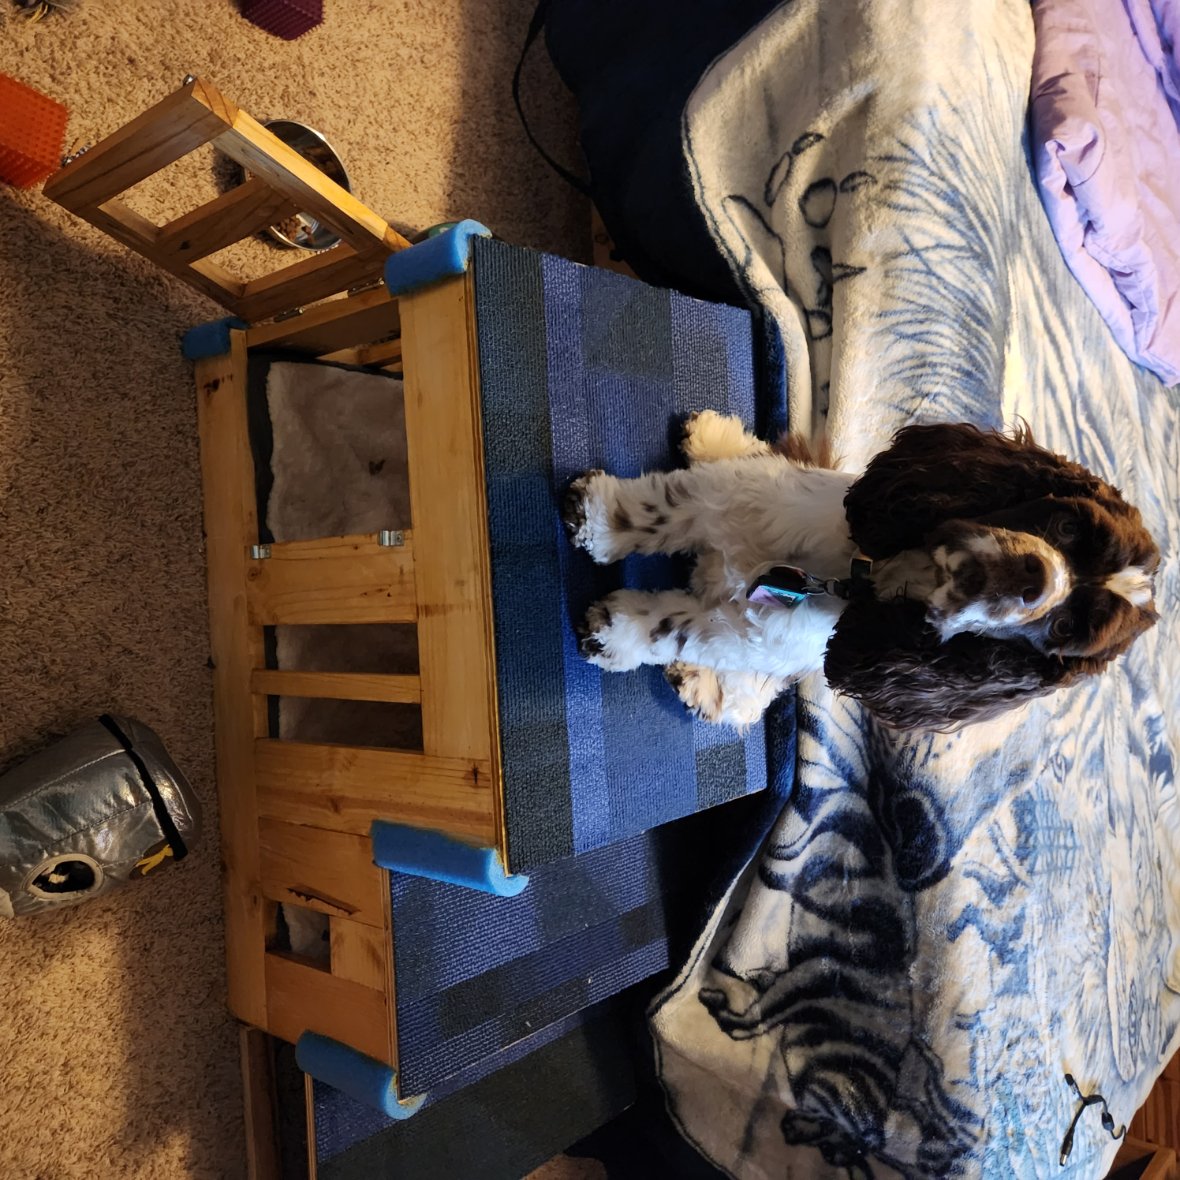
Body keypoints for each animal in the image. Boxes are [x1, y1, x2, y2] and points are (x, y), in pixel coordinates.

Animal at [559, 412, 1151, 726]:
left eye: (1064, 629)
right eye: (1068, 526)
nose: (1035, 578)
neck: (856, 576)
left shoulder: (749, 635)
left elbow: (674, 629)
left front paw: (613, 633)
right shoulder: (734, 498)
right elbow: (661, 509)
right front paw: (599, 518)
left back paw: (704, 684)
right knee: (760, 458)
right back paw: (711, 437)